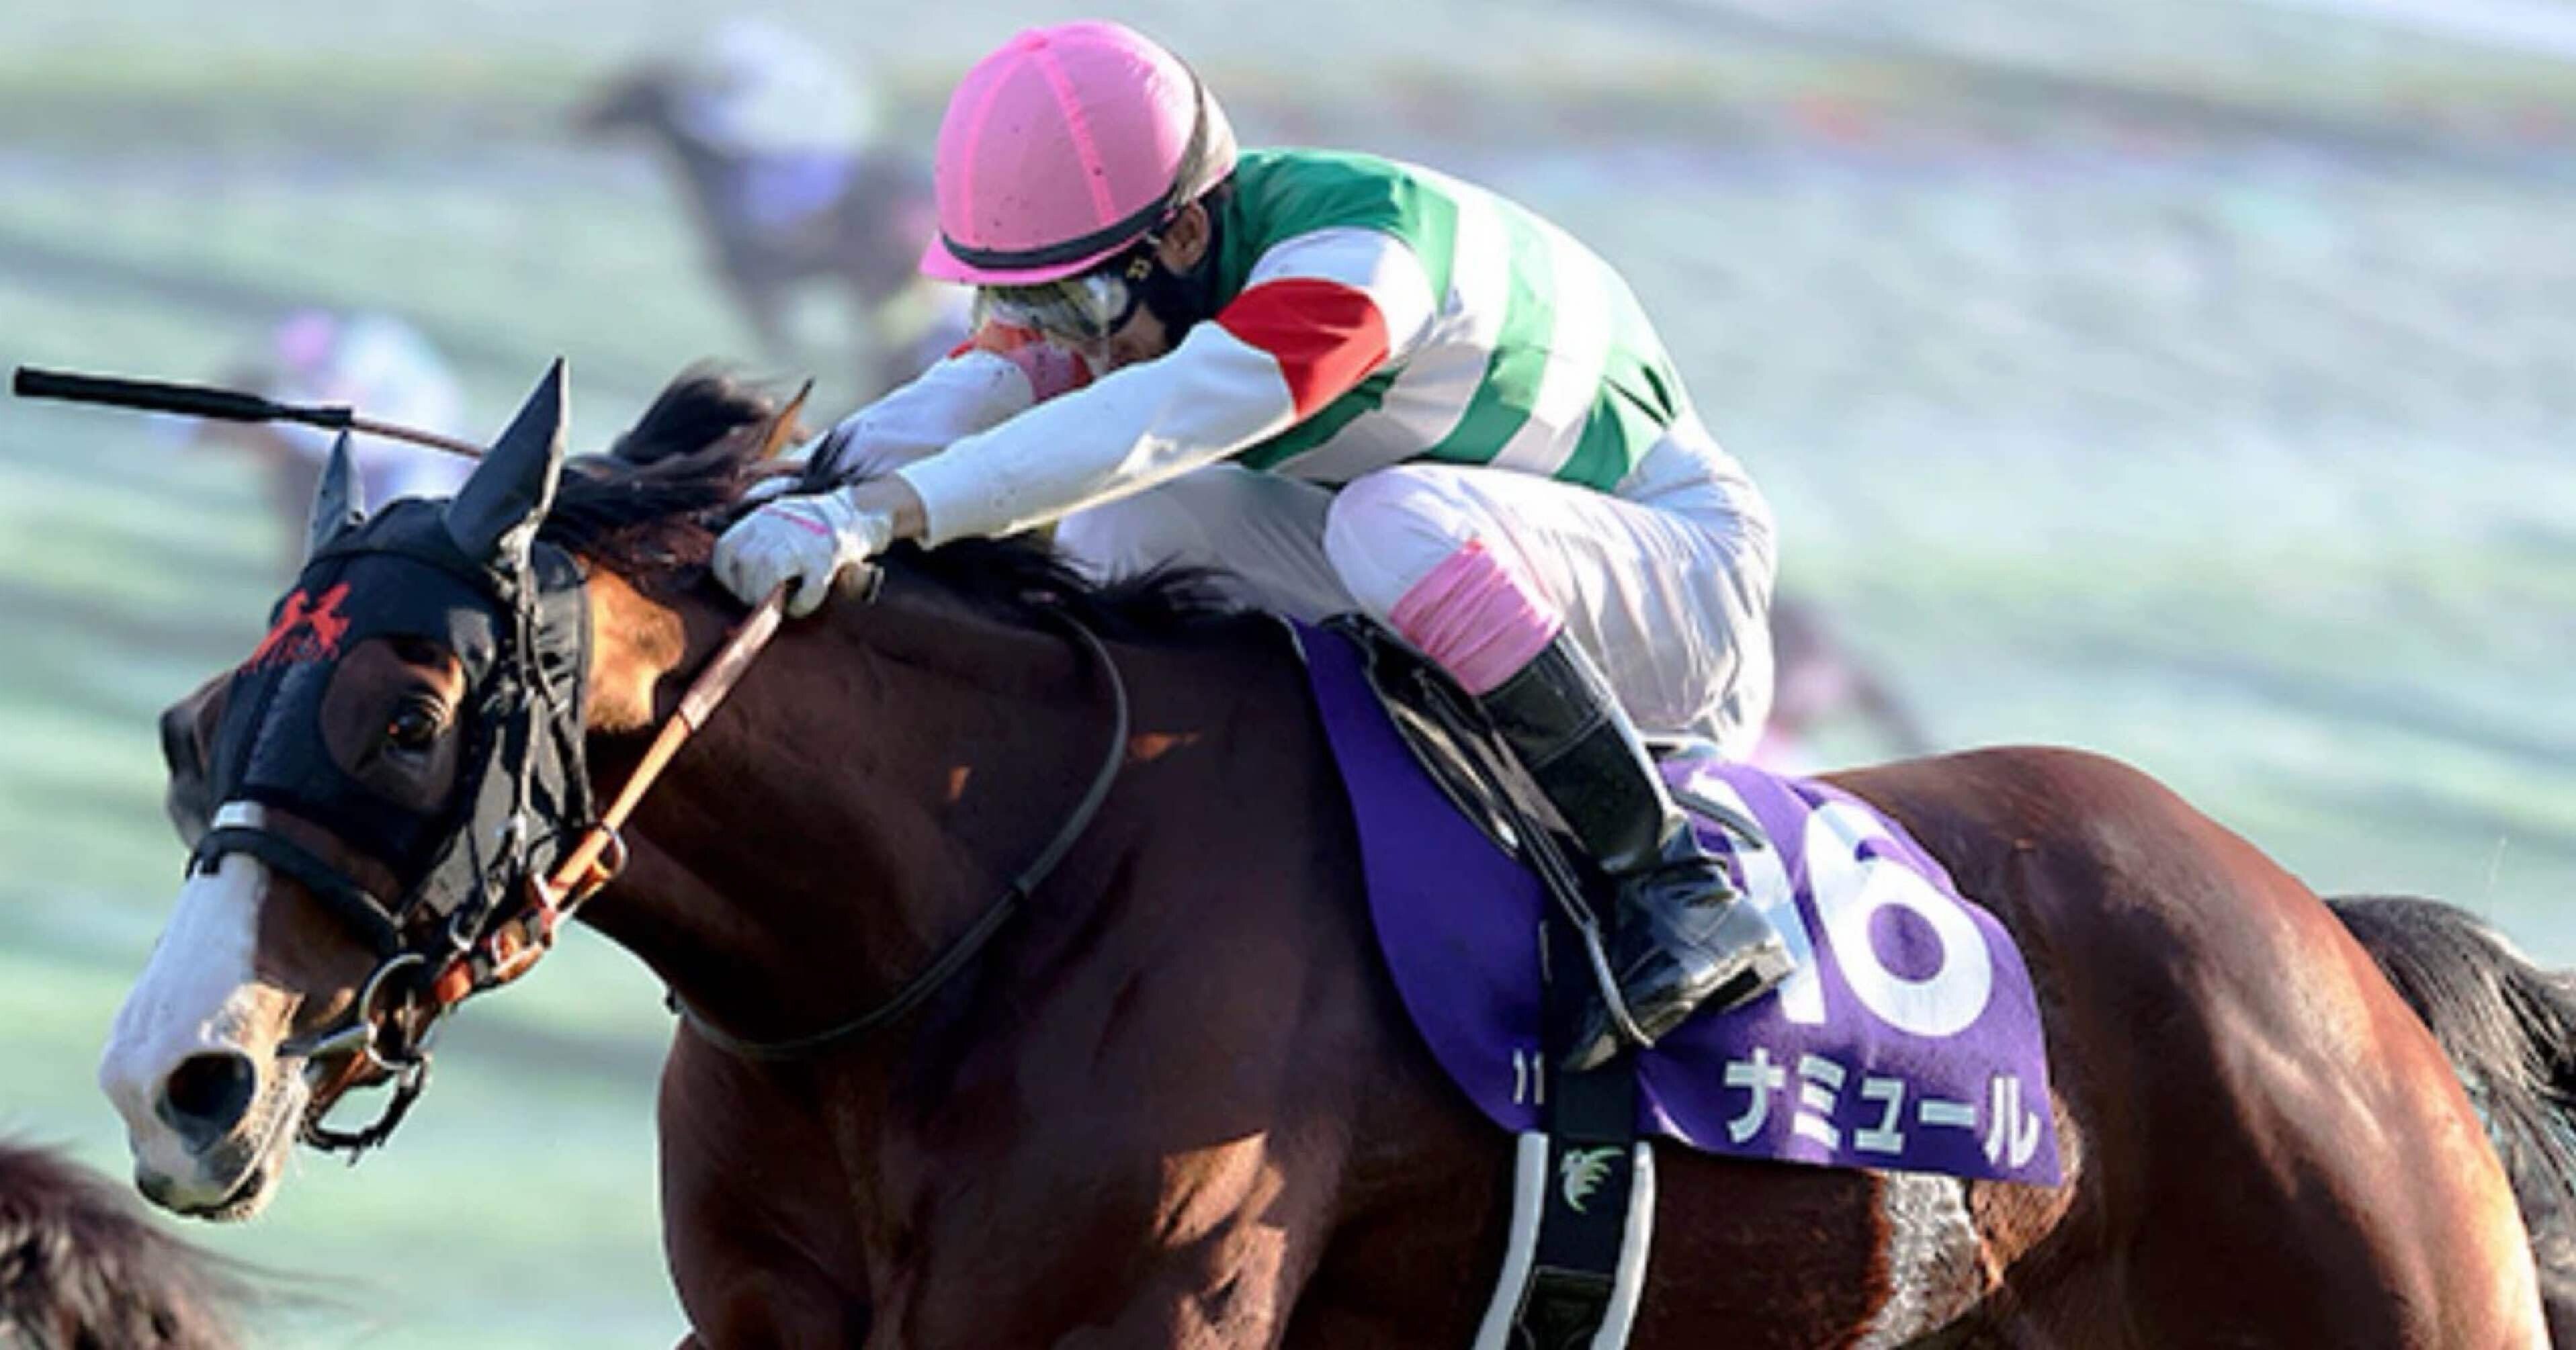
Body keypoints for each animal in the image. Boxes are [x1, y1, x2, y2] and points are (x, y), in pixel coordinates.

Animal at [99, 365, 2563, 1346]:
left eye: (408, 718)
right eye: (192, 727)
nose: (170, 1082)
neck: (974, 919)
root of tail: (2320, 936)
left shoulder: (1144, 1317)